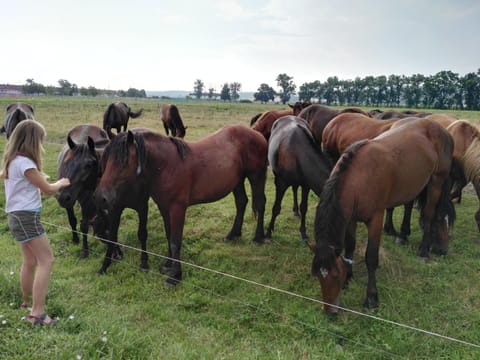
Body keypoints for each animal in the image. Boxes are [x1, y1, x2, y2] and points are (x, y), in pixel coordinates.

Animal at [56, 124, 124, 258]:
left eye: (89, 165)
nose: (63, 197)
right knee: (72, 219)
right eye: (66, 162)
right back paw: (75, 238)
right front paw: (84, 250)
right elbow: (82, 225)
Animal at [92, 125, 268, 286]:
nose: (101, 198)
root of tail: (257, 133)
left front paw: (175, 277)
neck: (167, 165)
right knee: (241, 202)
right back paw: (233, 234)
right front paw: (168, 265)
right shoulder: (164, 207)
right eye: (105, 161)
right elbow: (169, 235)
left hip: (256, 176)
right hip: (237, 181)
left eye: (123, 162)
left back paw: (258, 237)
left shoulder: (177, 209)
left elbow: (176, 241)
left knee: (260, 203)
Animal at [310, 116, 456, 314]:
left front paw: (371, 297)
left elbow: (371, 257)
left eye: (334, 275)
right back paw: (403, 236)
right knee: (409, 205)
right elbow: (350, 247)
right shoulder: (350, 219)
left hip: (436, 181)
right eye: (318, 275)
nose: (330, 312)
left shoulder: (375, 219)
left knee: (429, 214)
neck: (359, 179)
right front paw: (349, 277)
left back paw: (424, 250)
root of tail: (441, 129)